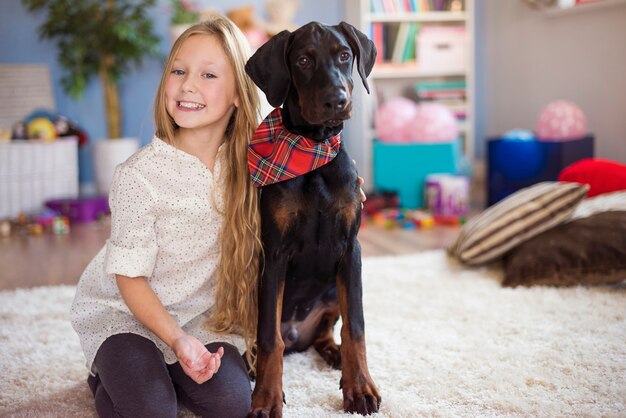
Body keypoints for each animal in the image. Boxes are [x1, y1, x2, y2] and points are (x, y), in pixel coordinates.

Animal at [244, 22, 380, 418]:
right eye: (303, 60)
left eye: (345, 55)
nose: (337, 100)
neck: (314, 149)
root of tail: (297, 336)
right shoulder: (274, 254)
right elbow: (268, 336)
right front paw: (266, 398)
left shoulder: (351, 249)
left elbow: (355, 326)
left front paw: (360, 387)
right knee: (270, 338)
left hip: (334, 288)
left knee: (326, 331)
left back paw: (334, 354)